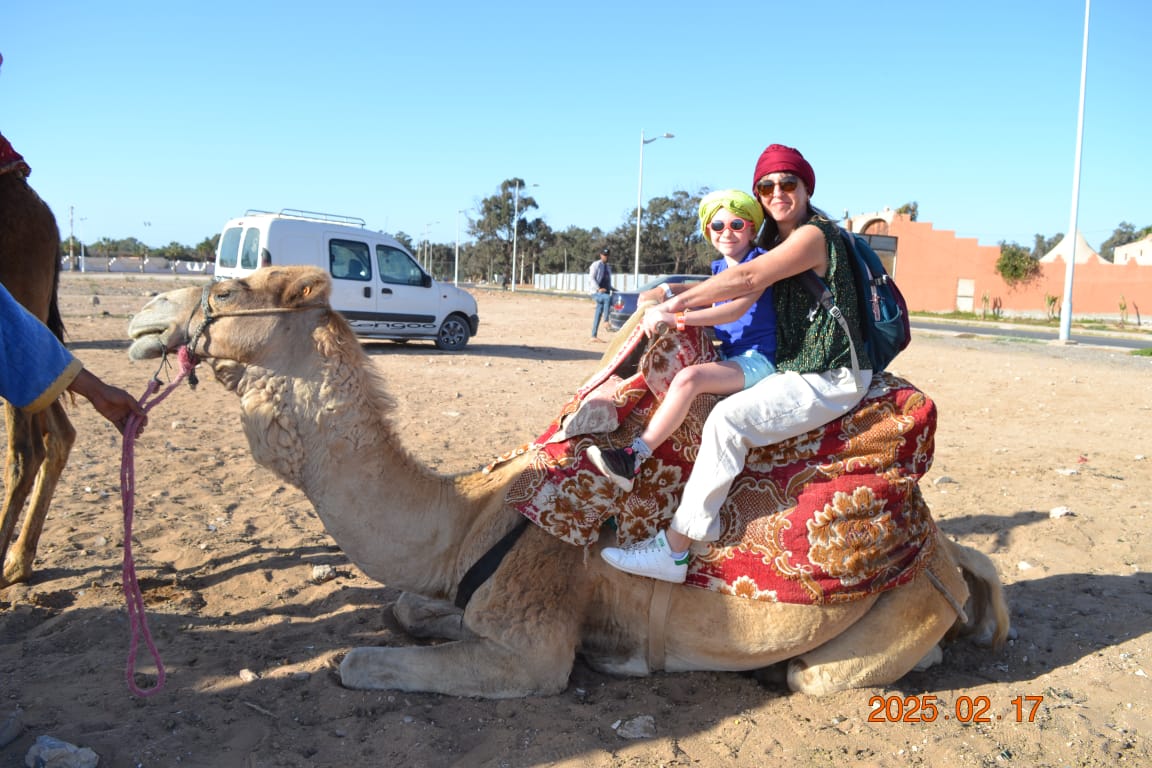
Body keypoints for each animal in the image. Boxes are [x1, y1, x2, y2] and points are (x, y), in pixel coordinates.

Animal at [126, 266, 1010, 699]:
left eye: (230, 287)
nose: (145, 312)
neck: (466, 518)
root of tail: (942, 552)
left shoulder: (535, 646)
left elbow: (359, 662)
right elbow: (406, 608)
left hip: (888, 621)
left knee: (818, 672)